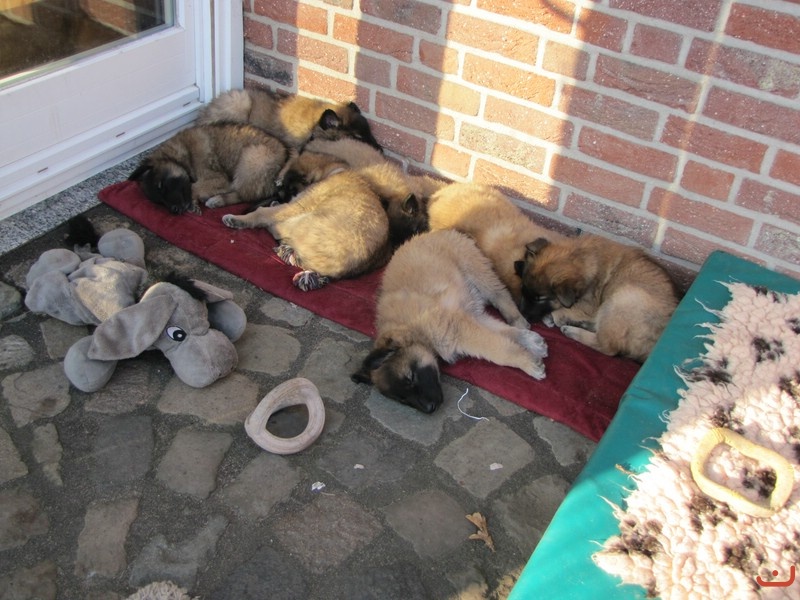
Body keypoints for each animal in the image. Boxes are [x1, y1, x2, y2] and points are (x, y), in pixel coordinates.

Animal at [129, 122, 288, 215]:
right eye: (159, 202)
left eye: (161, 185)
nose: (175, 211)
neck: (184, 153)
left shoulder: (218, 178)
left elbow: (193, 186)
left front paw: (194, 199)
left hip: (251, 159)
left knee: (242, 194)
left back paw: (217, 199)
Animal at [351, 229, 549, 413]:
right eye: (402, 399)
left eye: (411, 377)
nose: (429, 409)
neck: (410, 328)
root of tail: (433, 232)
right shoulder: (466, 320)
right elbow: (502, 335)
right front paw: (531, 345)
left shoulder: (459, 331)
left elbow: (500, 351)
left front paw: (527, 363)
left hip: (478, 270)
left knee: (501, 295)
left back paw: (519, 320)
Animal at [513, 235, 679, 362]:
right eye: (523, 289)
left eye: (540, 299)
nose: (523, 314)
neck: (582, 255)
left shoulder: (589, 306)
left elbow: (561, 311)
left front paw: (553, 317)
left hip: (623, 298)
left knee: (608, 347)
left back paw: (573, 330)